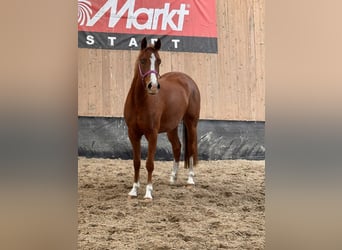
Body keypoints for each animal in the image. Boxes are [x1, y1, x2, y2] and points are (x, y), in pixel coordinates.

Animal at [123, 38, 200, 200]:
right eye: (143, 60)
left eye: (158, 61)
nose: (152, 86)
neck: (140, 101)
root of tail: (187, 80)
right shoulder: (133, 134)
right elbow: (136, 162)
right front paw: (134, 190)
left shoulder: (152, 134)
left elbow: (149, 163)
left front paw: (148, 193)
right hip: (172, 127)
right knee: (177, 147)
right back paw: (173, 178)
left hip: (191, 123)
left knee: (191, 147)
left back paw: (190, 179)